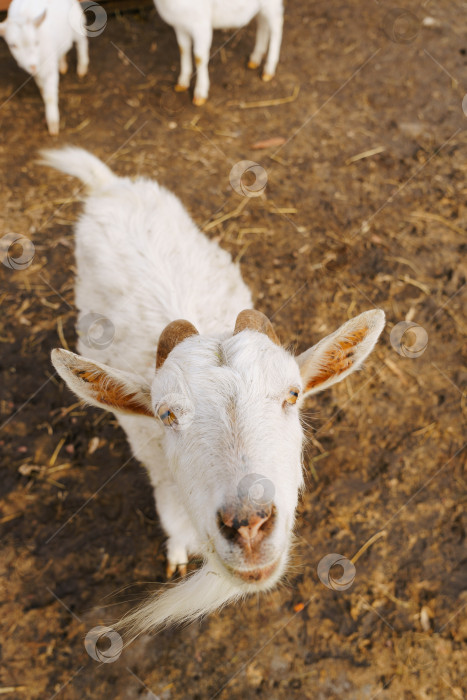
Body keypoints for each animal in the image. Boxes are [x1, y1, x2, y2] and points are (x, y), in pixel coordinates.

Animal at [0, 0, 88, 135]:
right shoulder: (38, 69)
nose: (32, 65)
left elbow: (50, 97)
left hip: (76, 23)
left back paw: (82, 68)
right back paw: (62, 65)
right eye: (13, 45)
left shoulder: (49, 67)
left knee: (82, 42)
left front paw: (53, 125)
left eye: (36, 42)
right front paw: (42, 92)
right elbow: (41, 85)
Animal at [39, 148, 384, 640]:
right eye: (166, 414)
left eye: (292, 395)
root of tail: (109, 185)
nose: (249, 527)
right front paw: (177, 553)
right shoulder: (160, 474)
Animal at [155, 0, 284, 105]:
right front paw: (182, 82)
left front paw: (200, 93)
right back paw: (255, 58)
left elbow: (199, 57)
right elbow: (183, 48)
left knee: (277, 24)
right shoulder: (180, 25)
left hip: (272, 4)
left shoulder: (201, 26)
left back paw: (269, 69)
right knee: (263, 23)